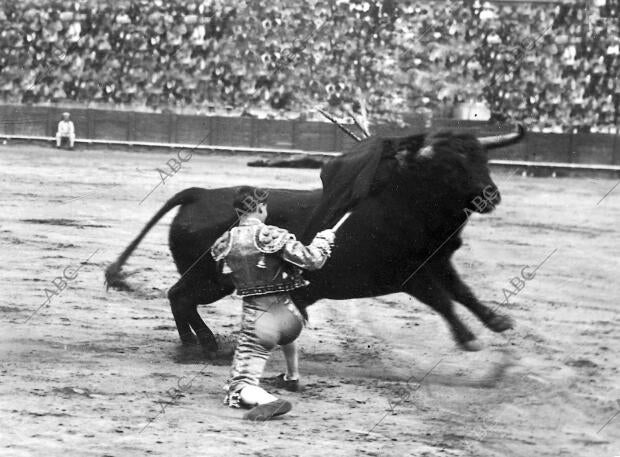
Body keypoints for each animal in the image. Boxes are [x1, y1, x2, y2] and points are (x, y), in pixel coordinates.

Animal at [105, 126, 524, 350]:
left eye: (483, 159)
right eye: (449, 165)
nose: (491, 195)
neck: (405, 202)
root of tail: (198, 193)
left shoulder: (438, 262)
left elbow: (462, 292)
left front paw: (497, 321)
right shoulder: (409, 276)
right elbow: (442, 299)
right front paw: (467, 336)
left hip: (210, 279)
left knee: (180, 298)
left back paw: (200, 342)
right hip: (211, 279)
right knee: (179, 297)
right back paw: (203, 343)